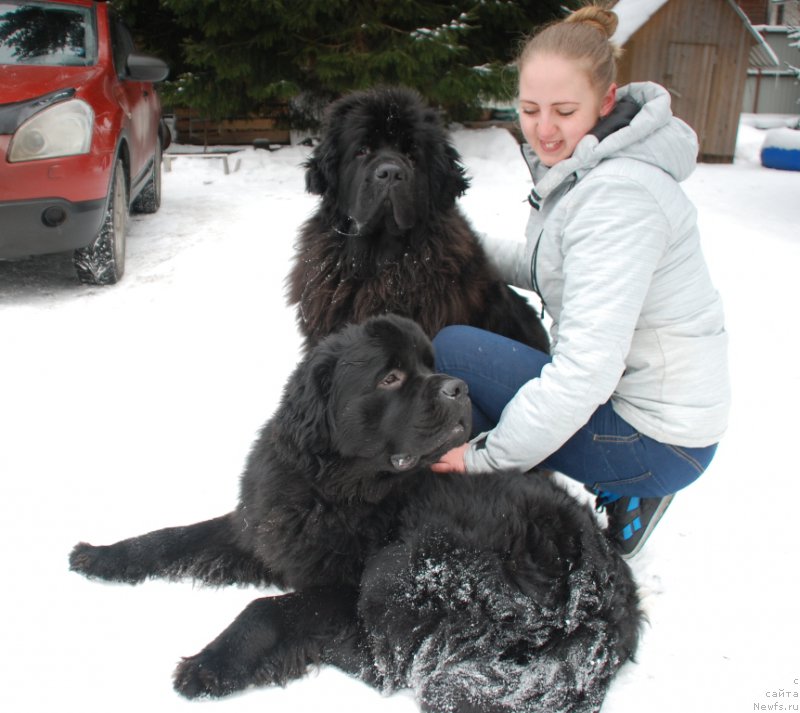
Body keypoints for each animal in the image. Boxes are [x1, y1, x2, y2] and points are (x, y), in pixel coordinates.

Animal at [70, 316, 644, 712]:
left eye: (428, 366)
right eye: (391, 377)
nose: (458, 387)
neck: (333, 491)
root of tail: (602, 600)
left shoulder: (344, 585)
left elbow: (268, 608)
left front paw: (209, 665)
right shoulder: (264, 527)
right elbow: (171, 537)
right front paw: (101, 556)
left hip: (400, 568)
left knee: (389, 662)